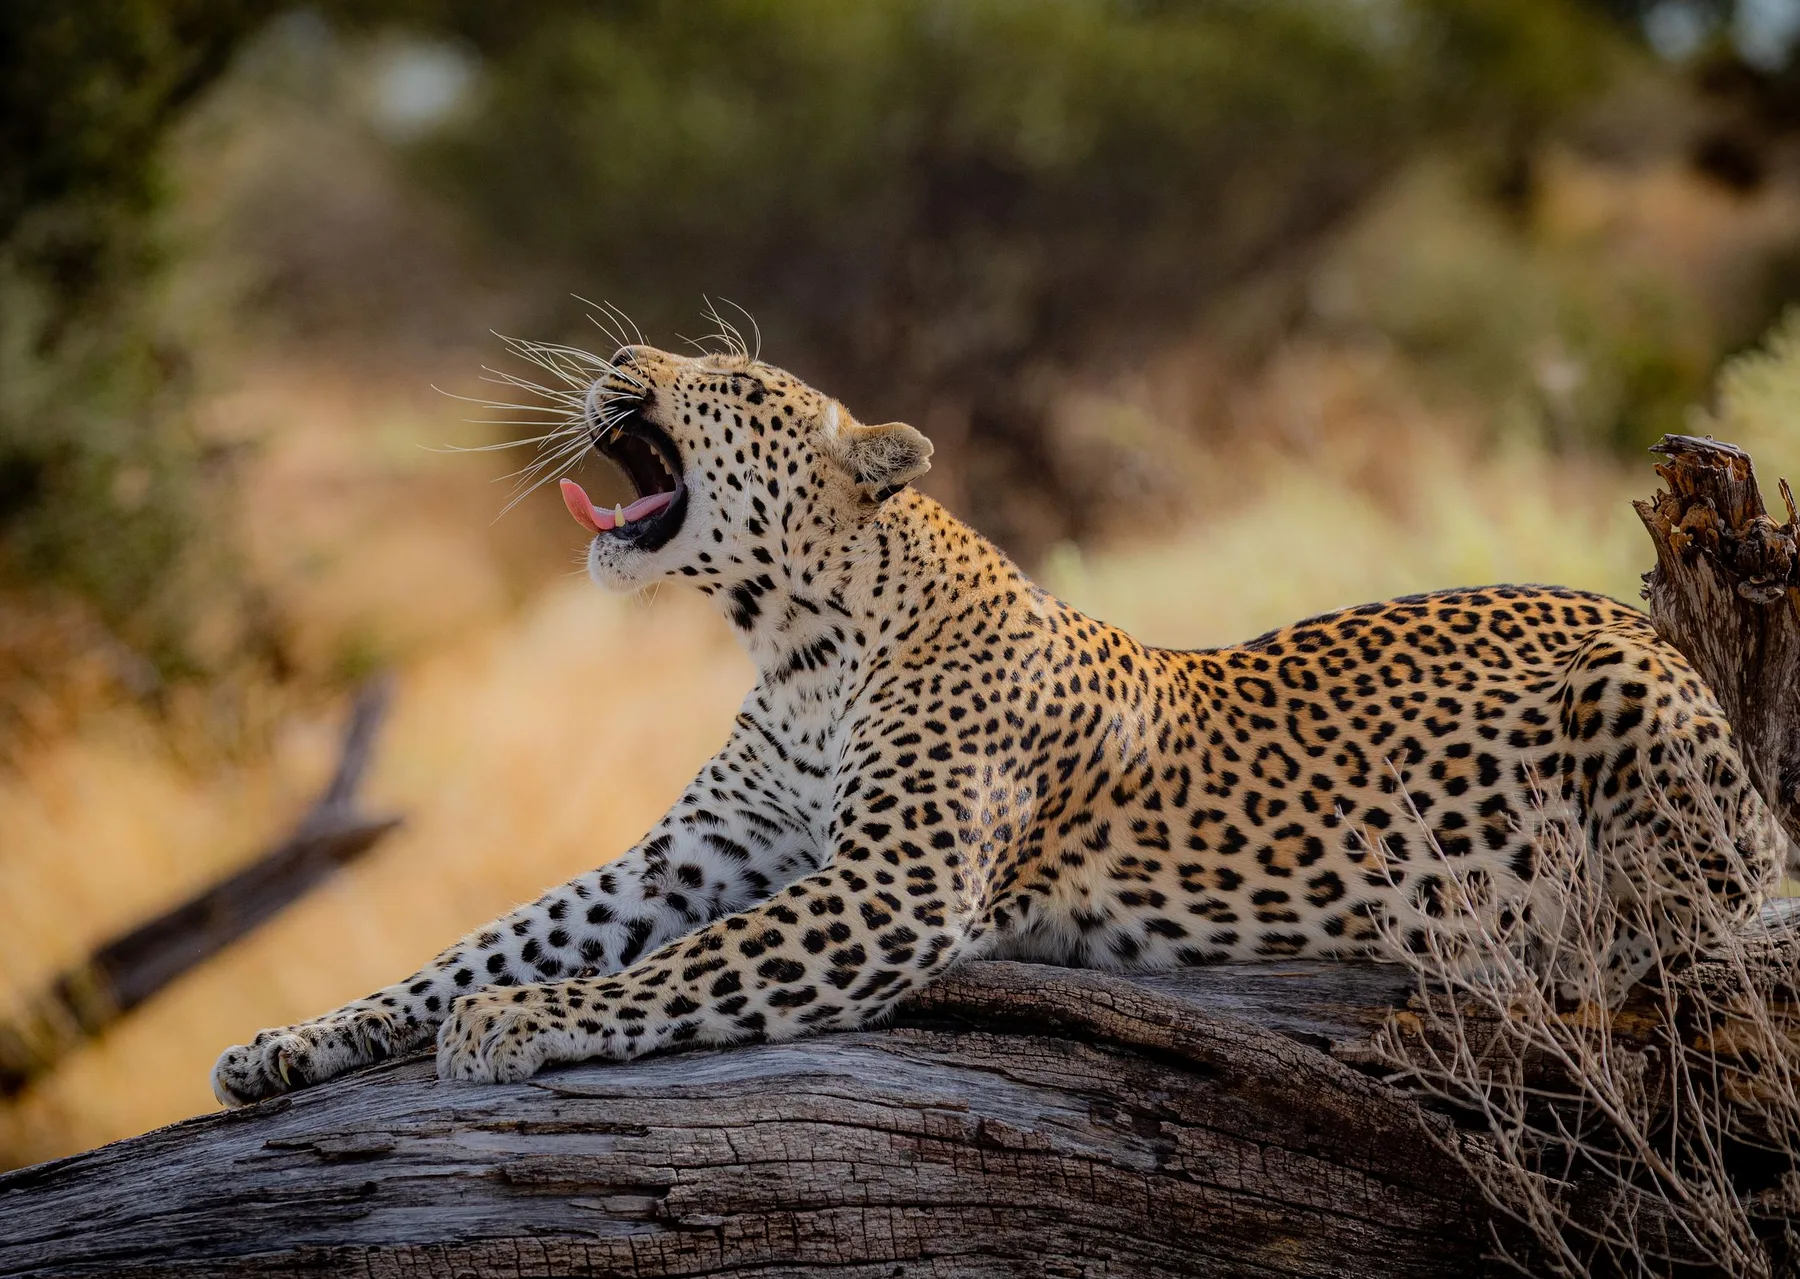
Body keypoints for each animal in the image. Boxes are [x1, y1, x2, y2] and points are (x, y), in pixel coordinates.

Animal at [212, 341, 1789, 1105]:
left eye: (731, 383)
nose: (618, 362)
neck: (796, 644)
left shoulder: (889, 890)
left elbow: (672, 969)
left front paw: (517, 1023)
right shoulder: (685, 861)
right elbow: (482, 937)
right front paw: (289, 1040)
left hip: (1635, 699)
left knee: (1704, 923)